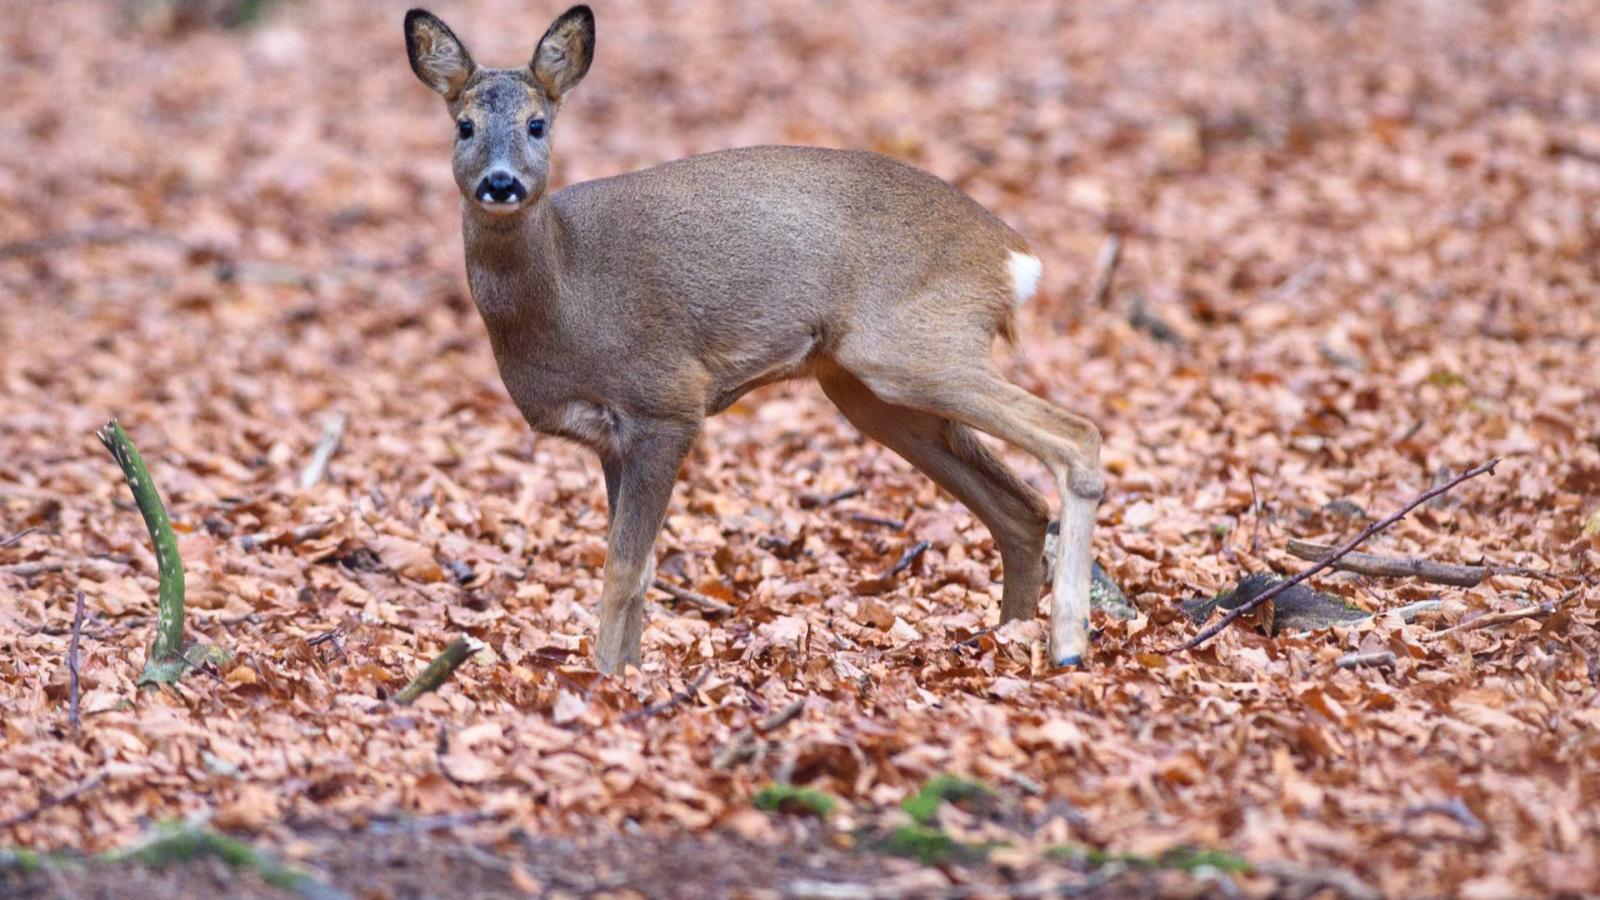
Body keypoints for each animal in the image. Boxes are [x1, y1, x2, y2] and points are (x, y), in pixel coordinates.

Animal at [403, 3, 1100, 669]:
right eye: (464, 126)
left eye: (536, 124)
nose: (500, 183)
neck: (568, 294)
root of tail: (1014, 256)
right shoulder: (610, 438)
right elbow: (641, 568)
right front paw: (627, 675)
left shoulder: (667, 400)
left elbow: (624, 570)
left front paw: (606, 681)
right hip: (870, 388)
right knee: (1021, 509)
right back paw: (1010, 639)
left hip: (910, 349)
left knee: (1077, 437)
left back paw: (1066, 643)